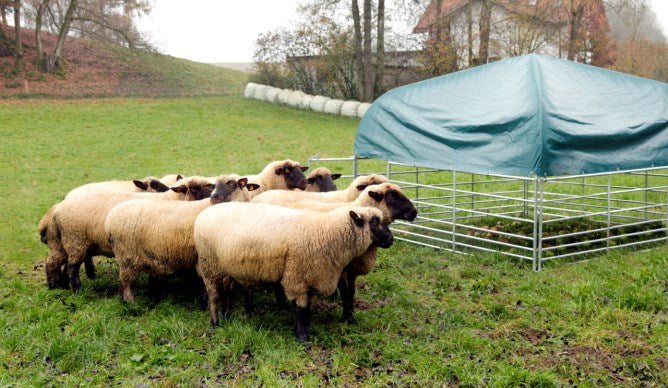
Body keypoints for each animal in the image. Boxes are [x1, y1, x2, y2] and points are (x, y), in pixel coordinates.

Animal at [194, 202, 392, 342]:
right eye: (374, 222)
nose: (391, 239)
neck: (326, 232)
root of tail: (204, 213)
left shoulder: (310, 276)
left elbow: (308, 305)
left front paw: (306, 326)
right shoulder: (297, 278)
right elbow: (300, 308)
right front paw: (302, 336)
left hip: (227, 266)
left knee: (227, 288)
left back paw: (226, 314)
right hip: (209, 265)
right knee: (214, 296)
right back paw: (215, 323)